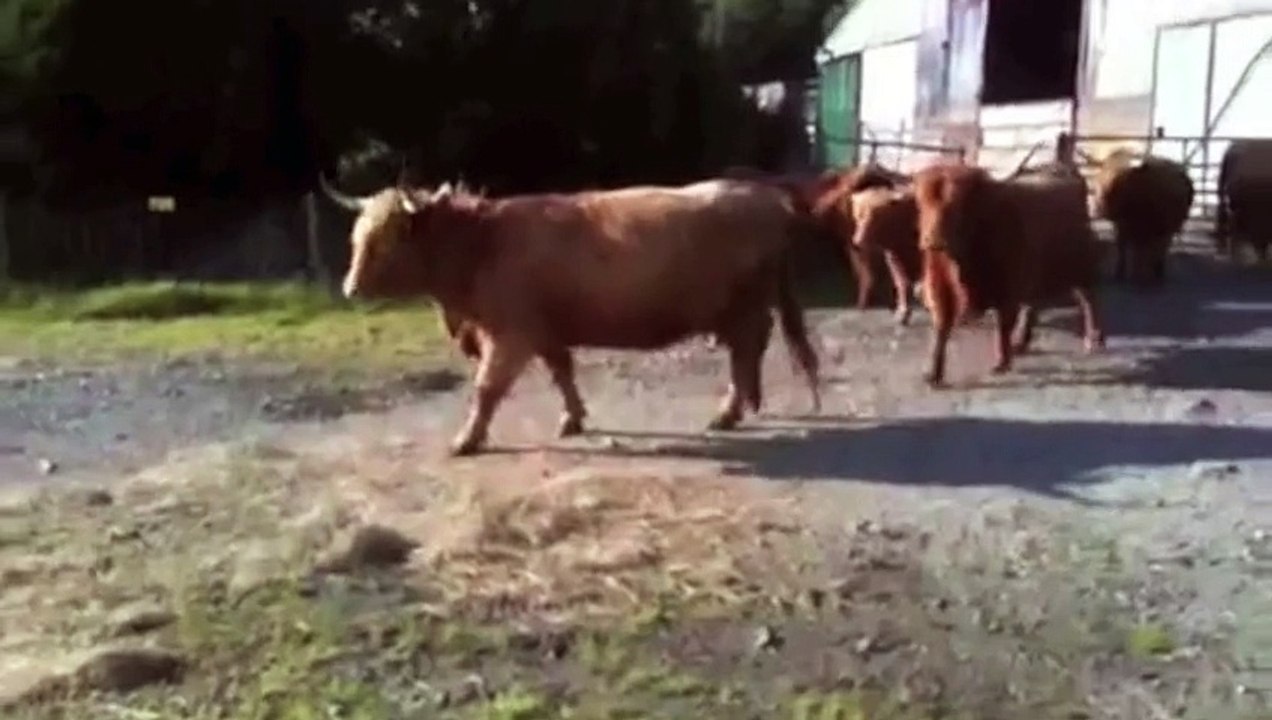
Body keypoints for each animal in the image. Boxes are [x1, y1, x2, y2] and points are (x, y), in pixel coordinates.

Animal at [321, 178, 821, 456]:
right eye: (357, 235)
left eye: (387, 239)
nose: (349, 289)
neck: (481, 245)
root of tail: (765, 195)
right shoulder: (543, 330)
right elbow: (562, 372)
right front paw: (573, 419)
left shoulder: (510, 335)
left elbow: (486, 390)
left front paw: (467, 440)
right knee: (750, 350)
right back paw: (745, 404)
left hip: (742, 307)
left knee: (747, 349)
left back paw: (731, 409)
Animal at [848, 186, 921, 325]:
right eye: (858, 216)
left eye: (875, 218)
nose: (857, 242)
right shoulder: (893, 255)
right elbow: (901, 282)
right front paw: (902, 313)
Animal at [912, 162, 1106, 386]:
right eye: (921, 203)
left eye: (957, 205)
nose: (933, 241)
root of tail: (1061, 168)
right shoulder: (940, 288)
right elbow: (941, 329)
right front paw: (933, 373)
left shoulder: (1008, 290)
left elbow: (1003, 326)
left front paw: (1001, 362)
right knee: (1033, 304)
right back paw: (1021, 342)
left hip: (1081, 266)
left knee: (1089, 299)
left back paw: (1094, 338)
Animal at [1092, 148, 1194, 283]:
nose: (1098, 207)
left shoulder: (1123, 223)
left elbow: (1125, 247)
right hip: (1167, 225)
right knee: (1159, 247)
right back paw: (1156, 271)